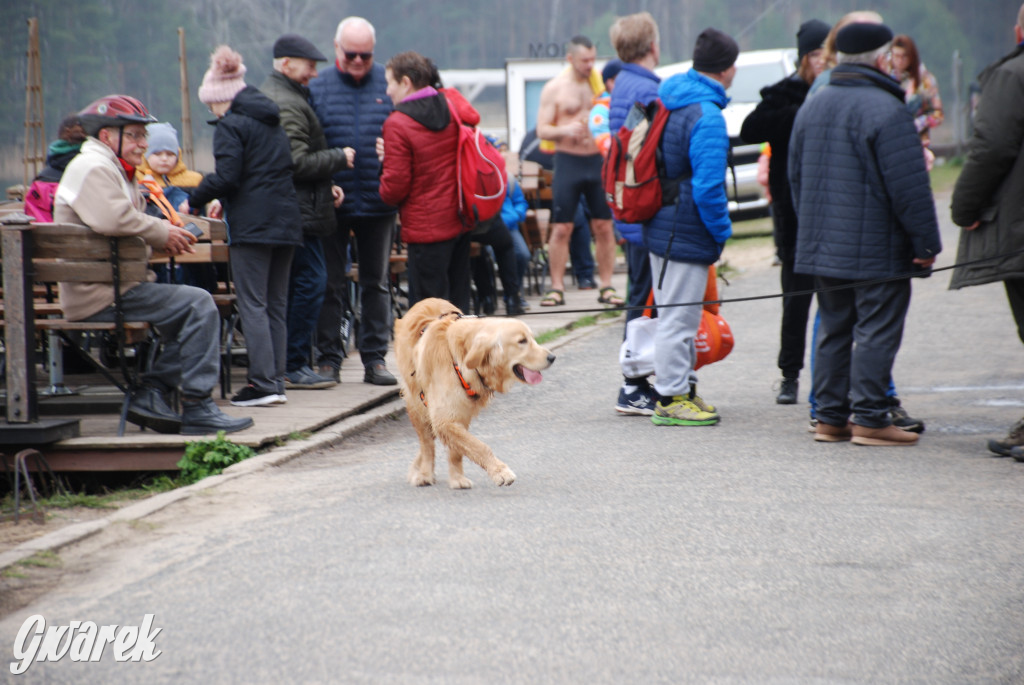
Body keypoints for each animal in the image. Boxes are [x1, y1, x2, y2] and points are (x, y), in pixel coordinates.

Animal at [393, 296, 557, 489]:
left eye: (532, 338)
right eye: (522, 341)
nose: (552, 357)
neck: (460, 358)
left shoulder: (460, 414)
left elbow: (459, 450)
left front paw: (457, 478)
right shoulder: (444, 418)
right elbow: (478, 446)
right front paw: (501, 472)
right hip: (415, 402)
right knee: (426, 444)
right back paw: (424, 473)